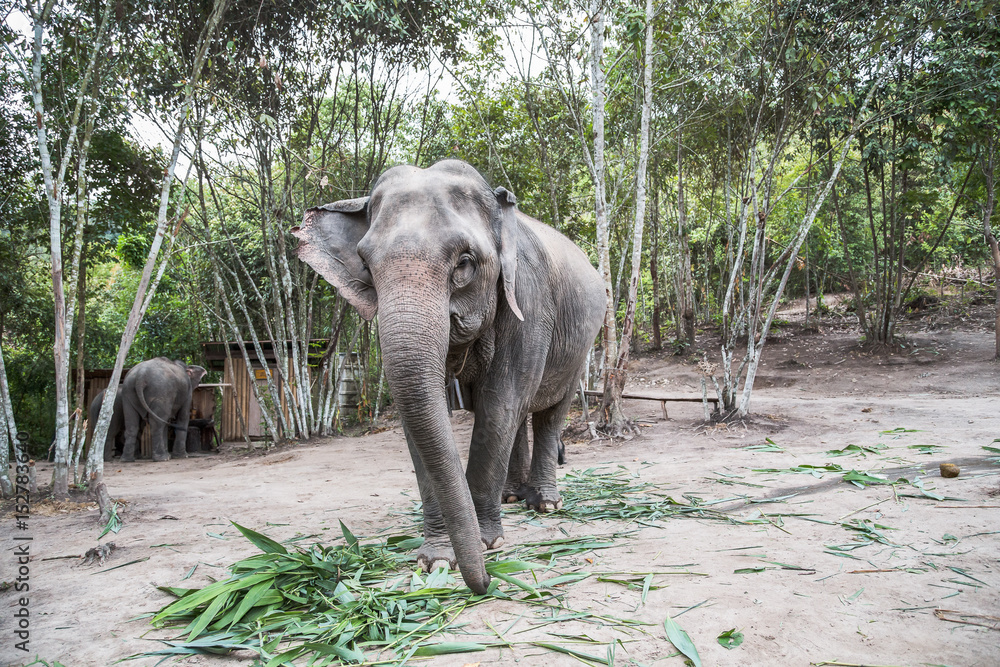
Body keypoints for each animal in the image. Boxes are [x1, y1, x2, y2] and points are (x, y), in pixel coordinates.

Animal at [293, 159, 605, 594]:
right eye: (366, 264)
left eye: (464, 263)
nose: (487, 582)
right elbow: (425, 414)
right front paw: (437, 560)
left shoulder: (530, 301)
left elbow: (499, 404)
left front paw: (488, 544)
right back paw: (512, 497)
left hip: (583, 340)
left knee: (549, 413)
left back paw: (544, 504)